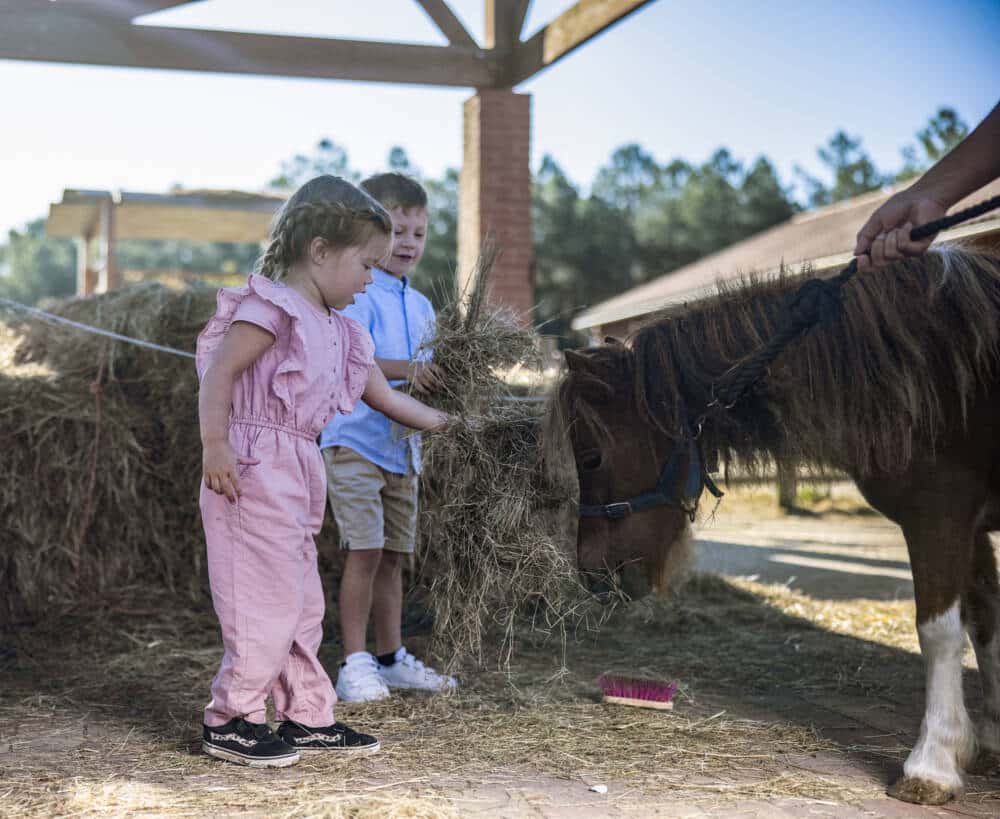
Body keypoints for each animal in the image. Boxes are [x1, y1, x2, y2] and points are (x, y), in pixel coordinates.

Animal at [552, 245, 1000, 808]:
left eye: (590, 457)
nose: (592, 574)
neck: (917, 365)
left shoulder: (940, 516)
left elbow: (939, 633)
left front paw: (932, 765)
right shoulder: (973, 528)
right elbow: (986, 623)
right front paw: (989, 739)